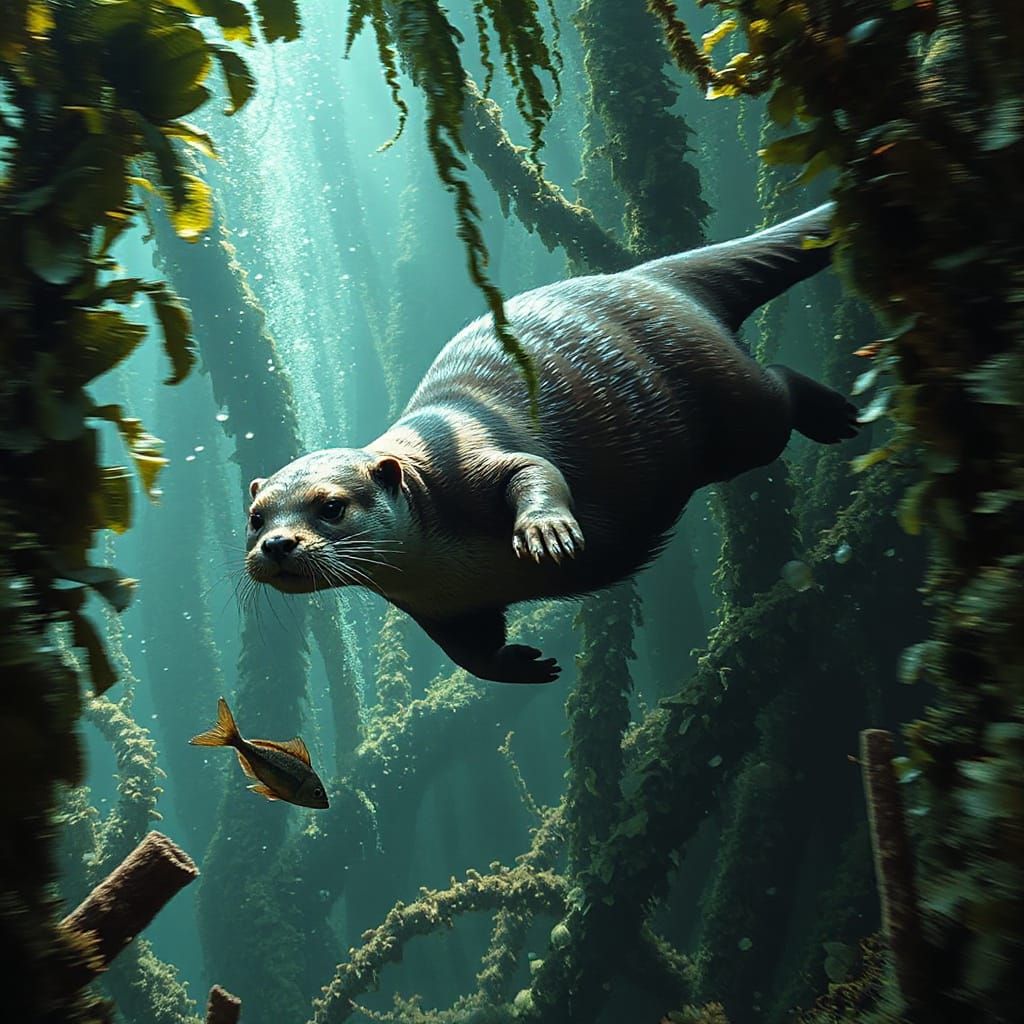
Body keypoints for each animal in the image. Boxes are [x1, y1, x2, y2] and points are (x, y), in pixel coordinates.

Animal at [245, 204, 857, 683]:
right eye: (255, 517)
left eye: (331, 507)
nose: (277, 544)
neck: (439, 561)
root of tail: (650, 276)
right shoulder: (438, 607)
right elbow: (469, 653)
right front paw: (523, 665)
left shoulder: (464, 462)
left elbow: (532, 467)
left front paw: (547, 531)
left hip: (735, 404)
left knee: (778, 385)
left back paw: (835, 414)